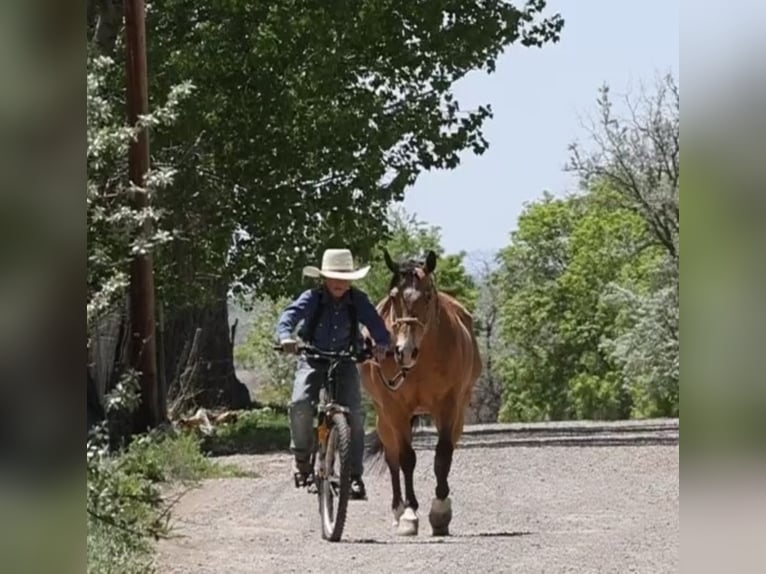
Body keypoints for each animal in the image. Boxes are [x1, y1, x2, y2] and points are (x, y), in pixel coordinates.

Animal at [358, 250, 480, 536]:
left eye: (427, 295)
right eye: (394, 296)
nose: (404, 351)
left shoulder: (449, 406)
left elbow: (443, 455)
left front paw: (440, 511)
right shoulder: (396, 410)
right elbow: (406, 459)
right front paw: (410, 513)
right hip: (384, 418)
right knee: (392, 458)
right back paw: (397, 510)